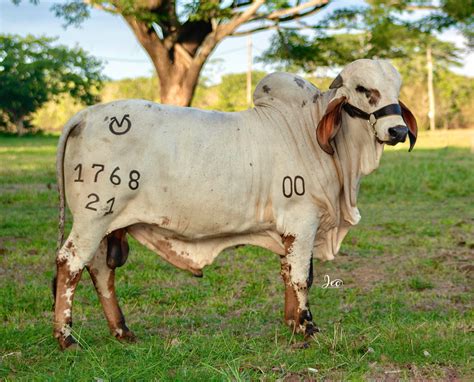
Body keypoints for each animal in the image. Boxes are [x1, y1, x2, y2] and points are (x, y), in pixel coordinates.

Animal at [52, 59, 418, 350]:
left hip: (106, 224)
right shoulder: (303, 221)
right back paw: (66, 338)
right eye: (362, 88)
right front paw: (307, 328)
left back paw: (121, 330)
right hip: (95, 215)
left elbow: (289, 273)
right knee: (70, 263)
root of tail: (84, 115)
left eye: (396, 88)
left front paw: (292, 323)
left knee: (100, 270)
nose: (397, 130)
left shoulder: (291, 229)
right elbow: (301, 277)